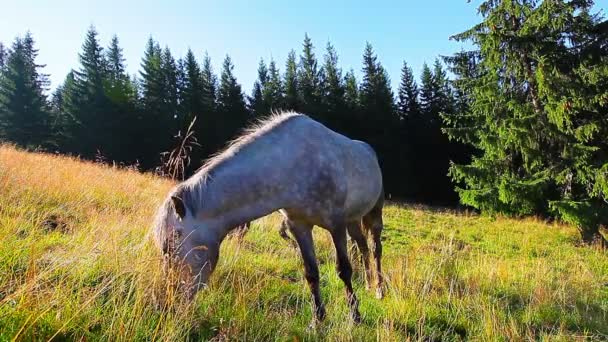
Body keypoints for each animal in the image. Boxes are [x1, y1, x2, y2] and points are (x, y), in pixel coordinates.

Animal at [152, 112, 384, 324]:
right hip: (353, 220)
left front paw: (355, 316)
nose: (167, 303)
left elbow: (344, 270)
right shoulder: (299, 226)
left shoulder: (335, 224)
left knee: (375, 249)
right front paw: (318, 319)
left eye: (169, 247)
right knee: (362, 246)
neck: (293, 165)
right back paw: (369, 284)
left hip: (373, 213)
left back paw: (379, 290)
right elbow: (311, 273)